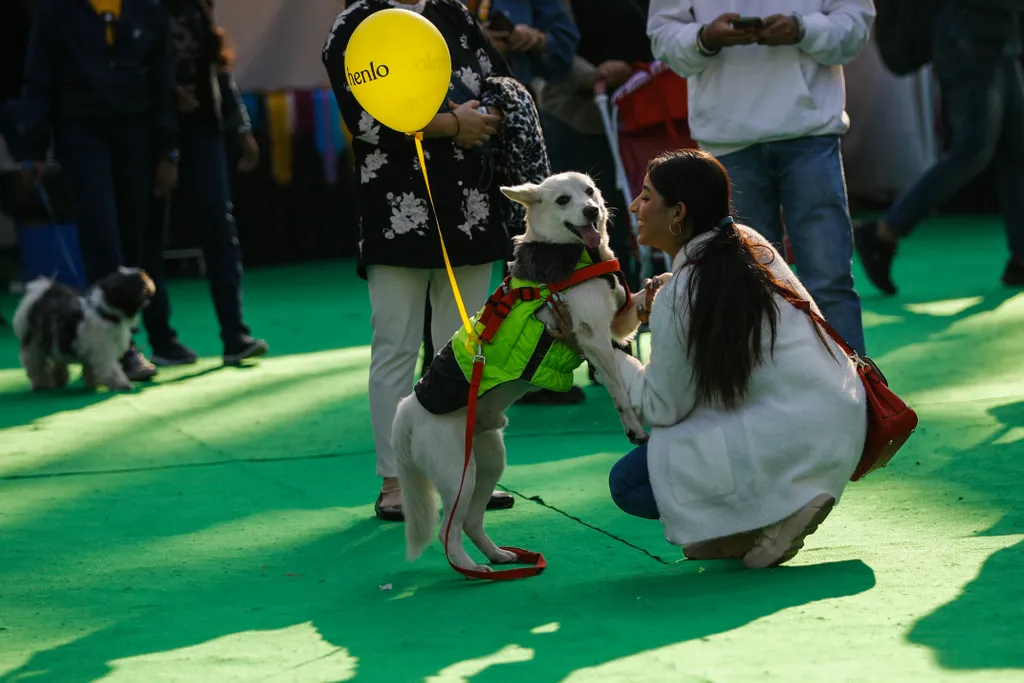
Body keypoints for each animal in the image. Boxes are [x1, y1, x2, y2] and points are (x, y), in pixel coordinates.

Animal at [12, 270, 156, 393]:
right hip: (33, 344)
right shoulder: (104, 354)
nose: (150, 281)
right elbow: (111, 370)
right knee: (36, 364)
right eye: (142, 285)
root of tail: (40, 295)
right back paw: (42, 383)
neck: (106, 315)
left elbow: (91, 369)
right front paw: (122, 384)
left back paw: (59, 378)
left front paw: (94, 382)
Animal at [391, 172, 647, 577]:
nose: (592, 210)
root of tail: (406, 409)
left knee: (470, 521)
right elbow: (619, 391)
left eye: (589, 191)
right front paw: (634, 427)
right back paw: (472, 567)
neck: (577, 255)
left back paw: (498, 556)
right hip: (458, 475)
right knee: (448, 529)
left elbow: (643, 297)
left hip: (489, 461)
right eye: (562, 200)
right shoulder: (594, 338)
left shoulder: (617, 325)